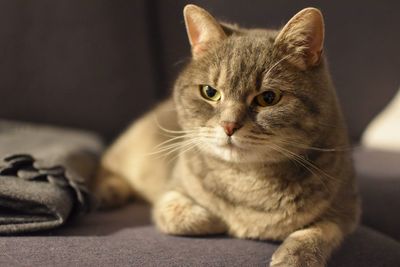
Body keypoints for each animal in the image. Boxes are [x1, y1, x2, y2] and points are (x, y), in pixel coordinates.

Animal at [93, 4, 360, 267]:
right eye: (210, 92)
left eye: (269, 97)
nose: (229, 125)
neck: (247, 180)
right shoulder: (171, 190)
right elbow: (181, 214)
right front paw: (220, 221)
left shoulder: (347, 209)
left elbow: (318, 232)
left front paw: (294, 257)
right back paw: (106, 192)